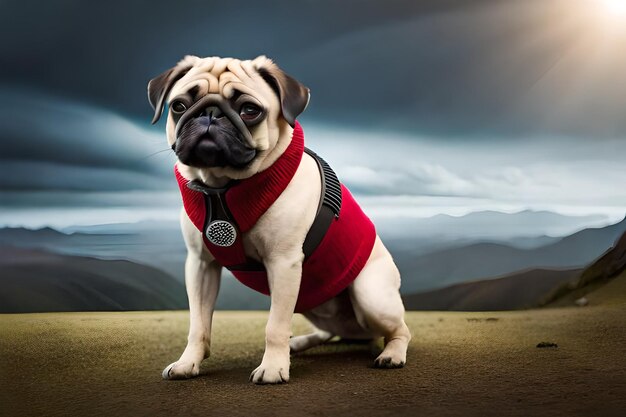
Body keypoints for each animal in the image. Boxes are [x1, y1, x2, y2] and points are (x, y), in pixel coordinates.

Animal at [146, 55, 410, 384]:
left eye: (250, 110)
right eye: (179, 106)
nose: (210, 113)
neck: (222, 189)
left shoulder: (282, 264)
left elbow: (275, 326)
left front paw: (272, 368)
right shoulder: (200, 266)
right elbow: (198, 324)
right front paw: (188, 362)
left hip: (370, 297)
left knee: (401, 330)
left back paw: (392, 353)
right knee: (330, 331)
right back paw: (300, 343)